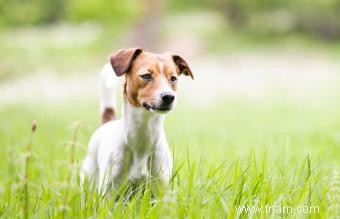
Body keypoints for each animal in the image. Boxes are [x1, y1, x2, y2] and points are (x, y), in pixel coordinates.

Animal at [79, 47, 191, 193]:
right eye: (146, 76)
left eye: (173, 78)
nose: (169, 97)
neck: (143, 136)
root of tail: (107, 123)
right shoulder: (110, 189)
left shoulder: (161, 187)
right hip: (89, 176)